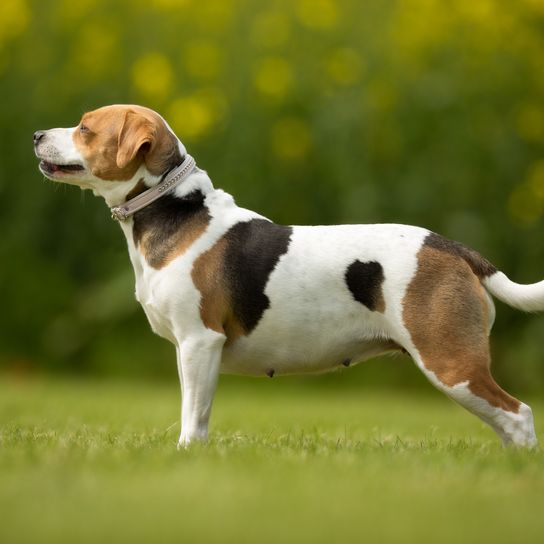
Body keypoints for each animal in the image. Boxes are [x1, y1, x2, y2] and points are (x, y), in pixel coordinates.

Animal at [34, 104, 540, 448]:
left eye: (85, 128)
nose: (37, 133)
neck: (176, 207)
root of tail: (453, 247)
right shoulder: (190, 351)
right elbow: (193, 412)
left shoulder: (200, 343)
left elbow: (194, 418)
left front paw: (185, 455)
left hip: (451, 363)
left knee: (519, 416)